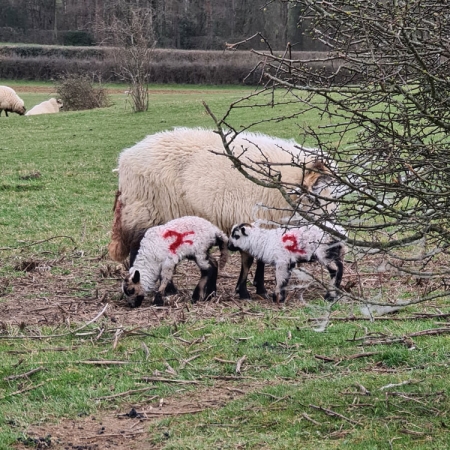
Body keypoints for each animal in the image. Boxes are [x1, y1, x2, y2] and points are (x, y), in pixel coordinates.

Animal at [109, 128, 338, 300]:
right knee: (137, 250)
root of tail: (125, 158)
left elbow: (260, 258)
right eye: (316, 198)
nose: (332, 233)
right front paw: (245, 291)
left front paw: (259, 288)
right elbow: (249, 259)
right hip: (145, 212)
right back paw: (158, 287)